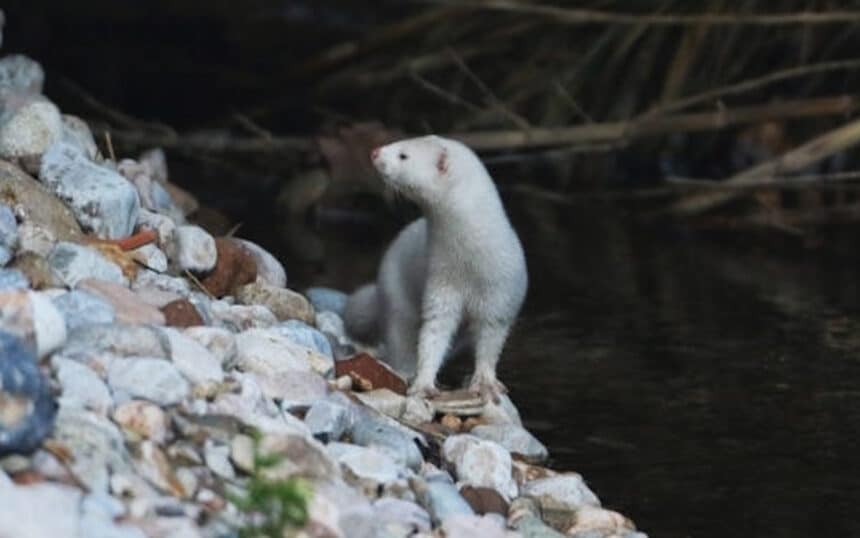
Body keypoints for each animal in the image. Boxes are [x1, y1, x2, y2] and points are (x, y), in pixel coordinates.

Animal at [343, 135, 527, 400]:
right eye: (403, 139)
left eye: (404, 154)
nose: (374, 151)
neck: (466, 264)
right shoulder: (440, 285)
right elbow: (433, 336)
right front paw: (423, 384)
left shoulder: (500, 296)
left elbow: (490, 342)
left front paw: (485, 383)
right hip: (395, 298)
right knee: (400, 341)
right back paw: (404, 372)